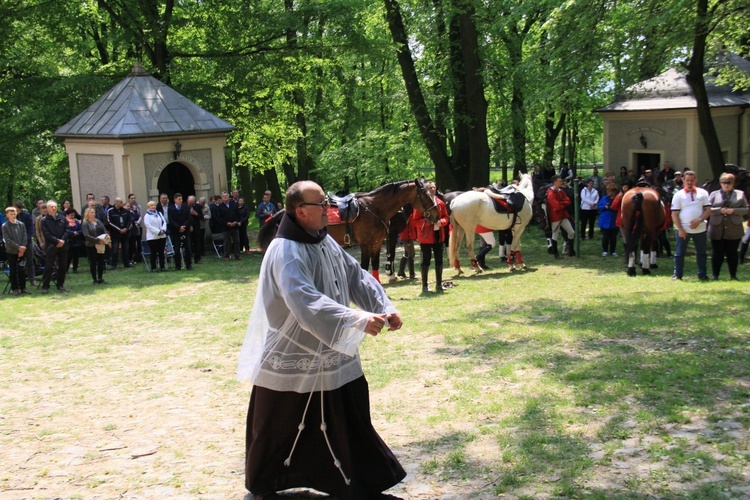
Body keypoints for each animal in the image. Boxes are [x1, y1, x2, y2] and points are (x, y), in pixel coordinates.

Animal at [258, 179, 438, 282]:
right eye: (425, 195)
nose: (436, 213)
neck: (374, 208)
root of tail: (284, 212)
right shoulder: (366, 244)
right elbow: (365, 266)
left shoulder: (377, 243)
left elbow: (375, 265)